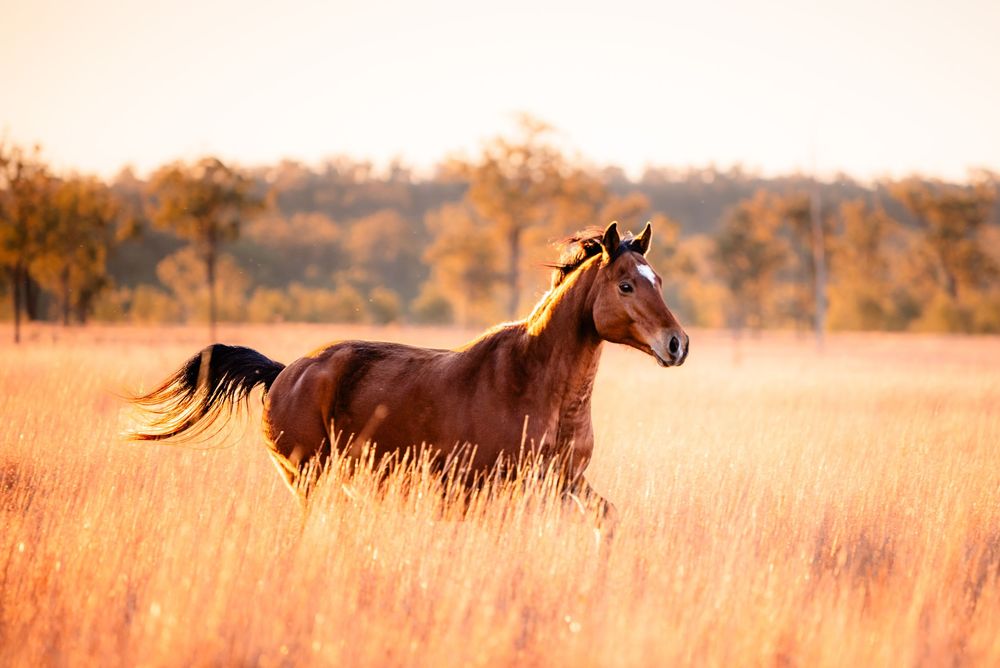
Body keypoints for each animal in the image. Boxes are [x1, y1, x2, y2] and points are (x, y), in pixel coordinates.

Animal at [130, 221, 689, 525]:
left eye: (657, 279)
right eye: (625, 285)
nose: (676, 344)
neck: (534, 384)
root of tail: (286, 372)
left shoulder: (565, 481)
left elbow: (607, 520)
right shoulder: (487, 488)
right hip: (306, 476)